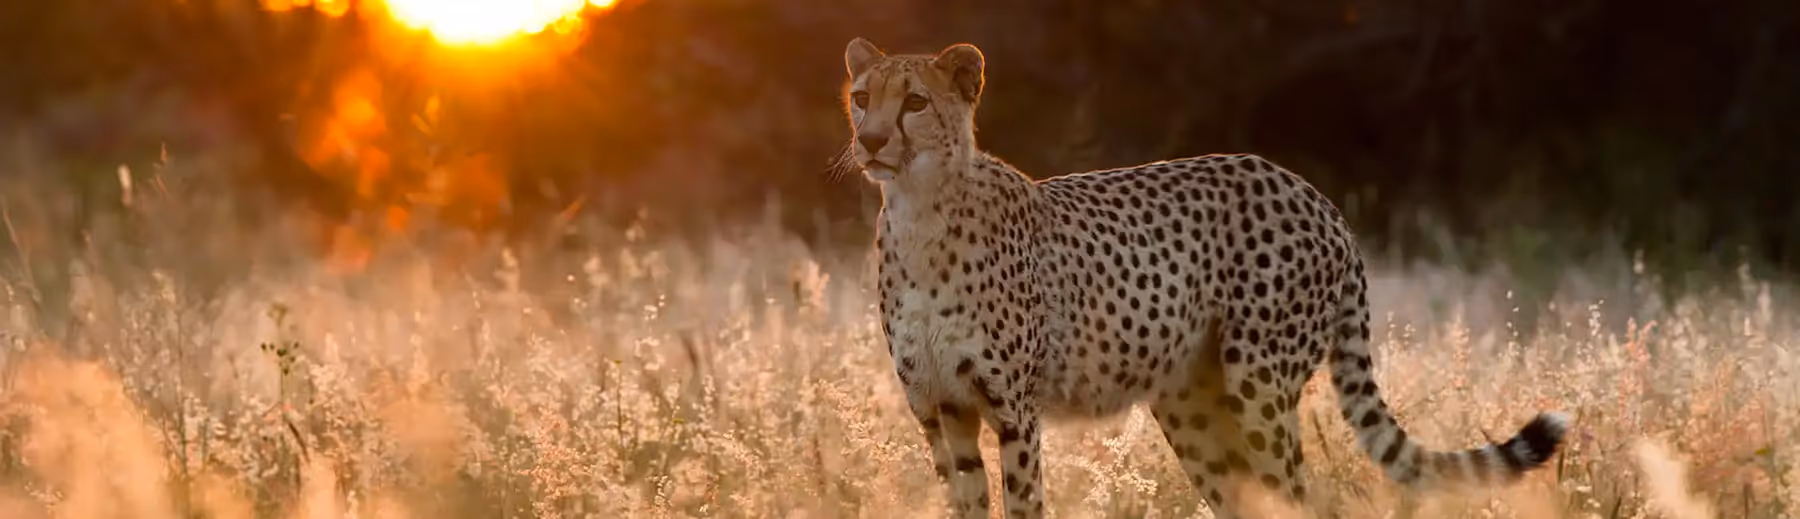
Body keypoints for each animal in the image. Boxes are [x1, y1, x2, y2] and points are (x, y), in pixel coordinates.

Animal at [840, 37, 1570, 519]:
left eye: (914, 101)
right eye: (861, 98)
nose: (871, 140)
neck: (918, 209)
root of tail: (1312, 193)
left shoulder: (1013, 410)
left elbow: (1023, 503)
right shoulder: (942, 411)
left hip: (1260, 386)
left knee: (1307, 499)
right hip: (1192, 405)